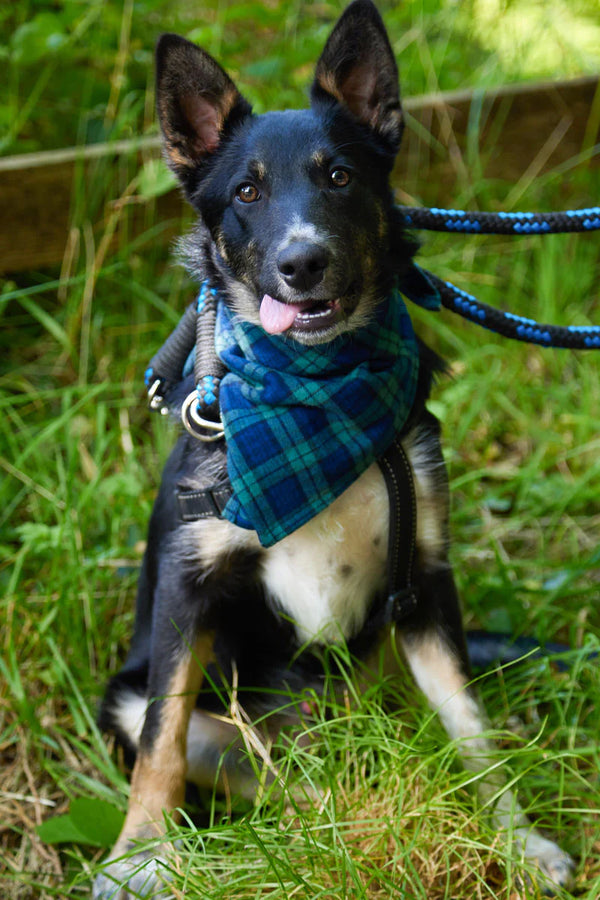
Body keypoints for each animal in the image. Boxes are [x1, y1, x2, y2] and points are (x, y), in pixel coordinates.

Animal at [94, 3, 576, 896]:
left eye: (341, 177)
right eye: (246, 191)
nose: (302, 262)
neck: (317, 395)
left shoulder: (425, 582)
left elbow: (474, 733)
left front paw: (521, 840)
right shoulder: (187, 587)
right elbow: (161, 739)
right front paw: (138, 854)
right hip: (146, 697)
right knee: (270, 774)